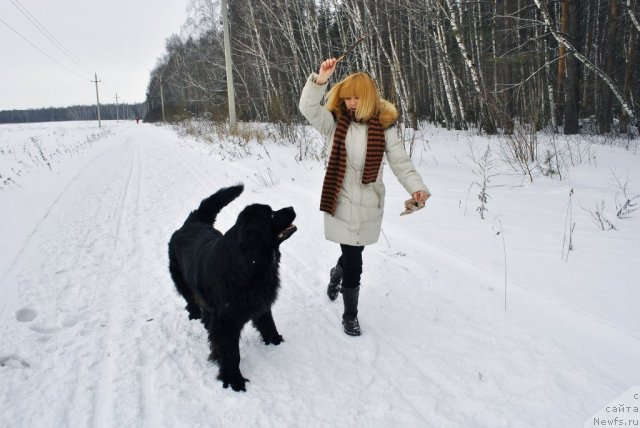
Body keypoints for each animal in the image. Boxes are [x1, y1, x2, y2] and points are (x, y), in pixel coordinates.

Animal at [165, 184, 296, 392]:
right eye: (271, 214)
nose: (291, 207)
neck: (250, 263)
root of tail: (191, 223)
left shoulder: (261, 301)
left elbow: (268, 323)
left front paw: (275, 340)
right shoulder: (227, 321)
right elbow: (230, 352)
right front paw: (234, 379)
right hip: (182, 281)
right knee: (190, 299)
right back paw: (194, 315)